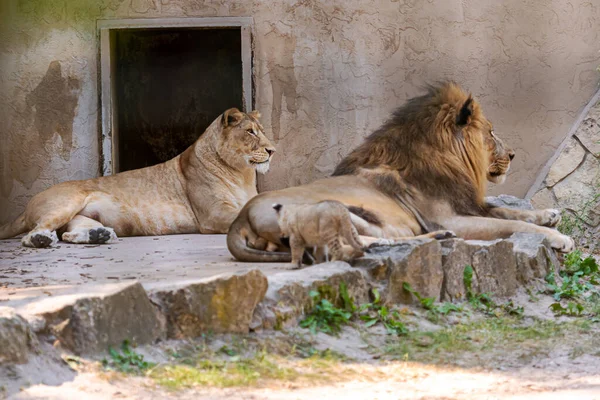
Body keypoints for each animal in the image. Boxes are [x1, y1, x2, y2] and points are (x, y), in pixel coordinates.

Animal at [0, 109, 276, 247]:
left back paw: (99, 236)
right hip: (65, 204)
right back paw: (40, 240)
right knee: (33, 234)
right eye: (250, 132)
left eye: (262, 131)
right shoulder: (213, 214)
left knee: (67, 234)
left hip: (79, 218)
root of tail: (28, 205)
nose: (272, 150)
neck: (241, 174)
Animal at [227, 82, 576, 262]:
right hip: (332, 209)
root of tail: (240, 220)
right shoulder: (452, 217)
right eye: (491, 133)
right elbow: (510, 224)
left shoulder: (465, 204)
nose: (513, 155)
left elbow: (507, 211)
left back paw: (433, 240)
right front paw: (558, 237)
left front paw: (548, 214)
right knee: (339, 248)